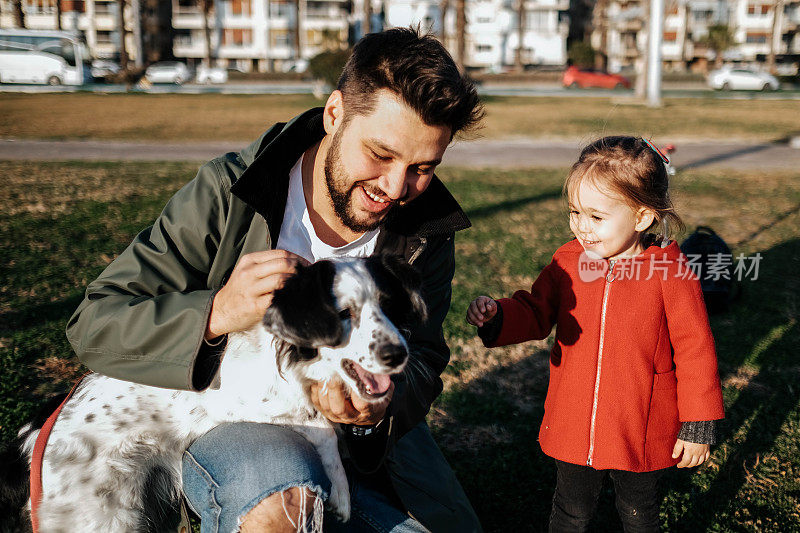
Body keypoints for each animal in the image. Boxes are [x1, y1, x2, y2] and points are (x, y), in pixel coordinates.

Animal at [0, 256, 428, 528]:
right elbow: (319, 425)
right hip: (102, 517)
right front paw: (340, 491)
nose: (398, 355)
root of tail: (29, 441)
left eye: (390, 307)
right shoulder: (232, 404)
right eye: (343, 314)